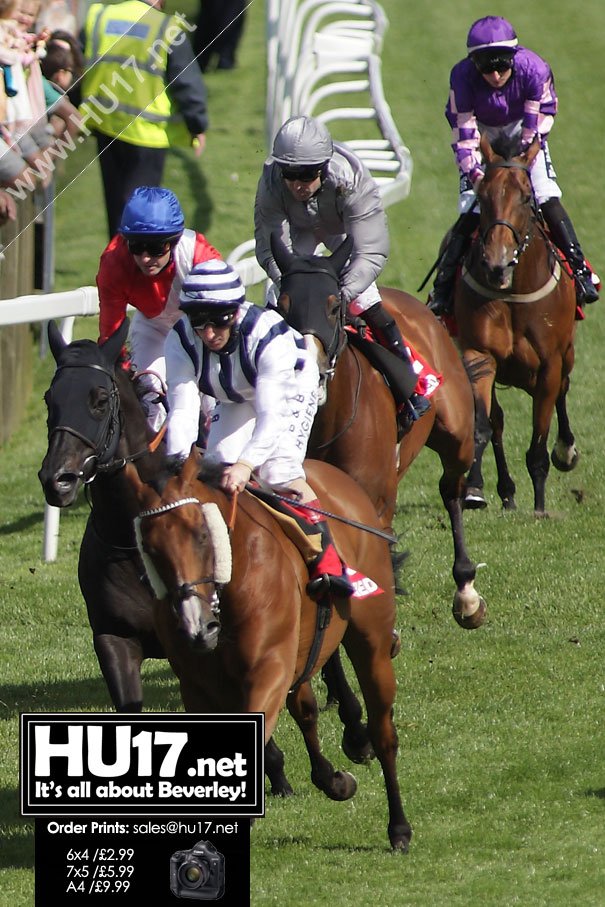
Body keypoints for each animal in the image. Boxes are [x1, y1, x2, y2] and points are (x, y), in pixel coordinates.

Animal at [125, 450, 412, 856]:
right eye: (149, 548)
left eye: (201, 535)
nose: (196, 628)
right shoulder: (199, 689)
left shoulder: (268, 669)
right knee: (305, 708)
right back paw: (333, 778)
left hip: (370, 642)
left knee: (383, 731)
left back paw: (398, 826)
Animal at [272, 234, 484, 632]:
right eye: (282, 305)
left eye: (332, 305)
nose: (304, 367)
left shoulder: (374, 500)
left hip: (456, 437)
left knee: (452, 489)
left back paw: (466, 592)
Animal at [456, 137, 580, 516]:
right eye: (482, 196)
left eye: (526, 197)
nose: (496, 263)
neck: (512, 289)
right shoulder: (478, 353)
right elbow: (483, 425)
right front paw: (474, 490)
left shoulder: (550, 362)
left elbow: (539, 437)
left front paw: (540, 506)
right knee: (497, 421)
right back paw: (506, 492)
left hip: (566, 355)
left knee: (564, 390)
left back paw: (565, 451)